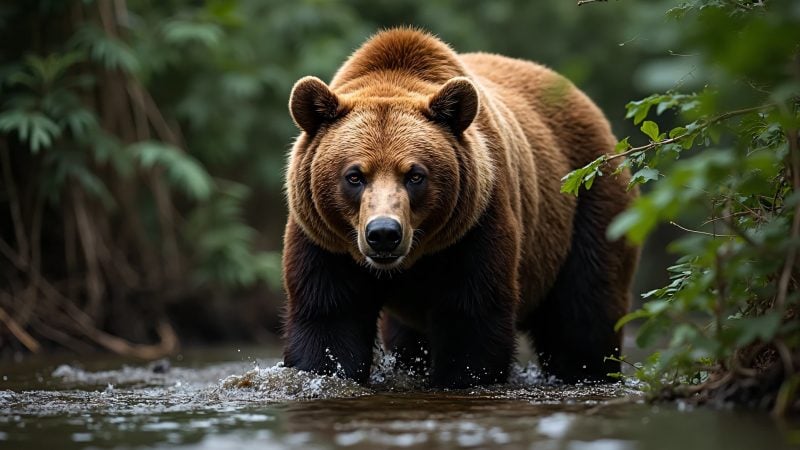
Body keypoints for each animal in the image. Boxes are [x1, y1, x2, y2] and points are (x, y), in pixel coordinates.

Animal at [282, 28, 638, 388]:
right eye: (354, 175)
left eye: (415, 175)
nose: (383, 233)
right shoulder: (326, 242)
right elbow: (329, 319)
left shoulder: (474, 227)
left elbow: (472, 323)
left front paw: (459, 376)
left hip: (587, 199)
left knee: (583, 310)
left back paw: (587, 370)